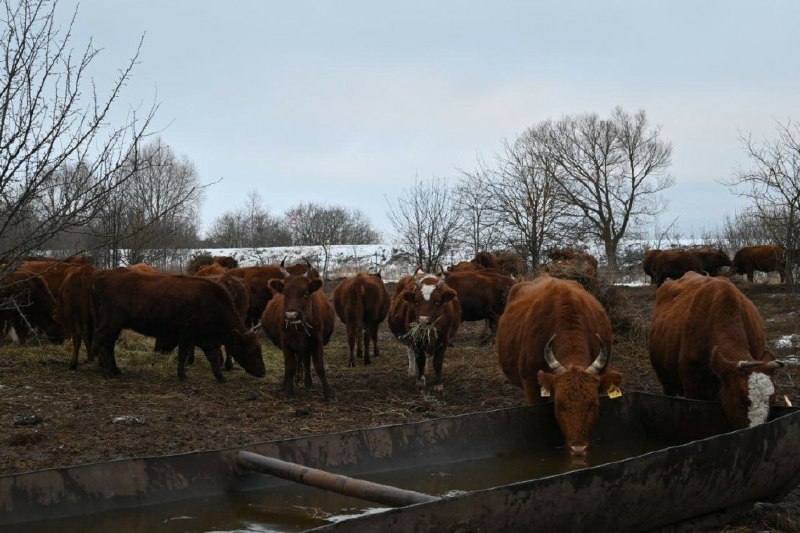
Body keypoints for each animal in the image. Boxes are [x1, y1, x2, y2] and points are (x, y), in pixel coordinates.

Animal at [90, 268, 266, 380]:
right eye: (253, 349)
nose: (263, 372)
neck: (210, 303)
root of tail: (101, 277)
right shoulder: (187, 335)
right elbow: (183, 354)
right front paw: (182, 375)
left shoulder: (205, 339)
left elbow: (213, 358)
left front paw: (221, 377)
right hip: (112, 322)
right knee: (100, 339)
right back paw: (108, 371)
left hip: (116, 326)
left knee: (108, 343)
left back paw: (115, 370)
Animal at [260, 262, 336, 400]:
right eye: (285, 292)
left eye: (306, 293)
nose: (291, 315)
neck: (298, 328)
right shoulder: (286, 344)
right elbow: (290, 367)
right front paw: (288, 391)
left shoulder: (316, 342)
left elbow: (319, 366)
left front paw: (328, 393)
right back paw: (285, 384)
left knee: (306, 361)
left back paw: (308, 382)